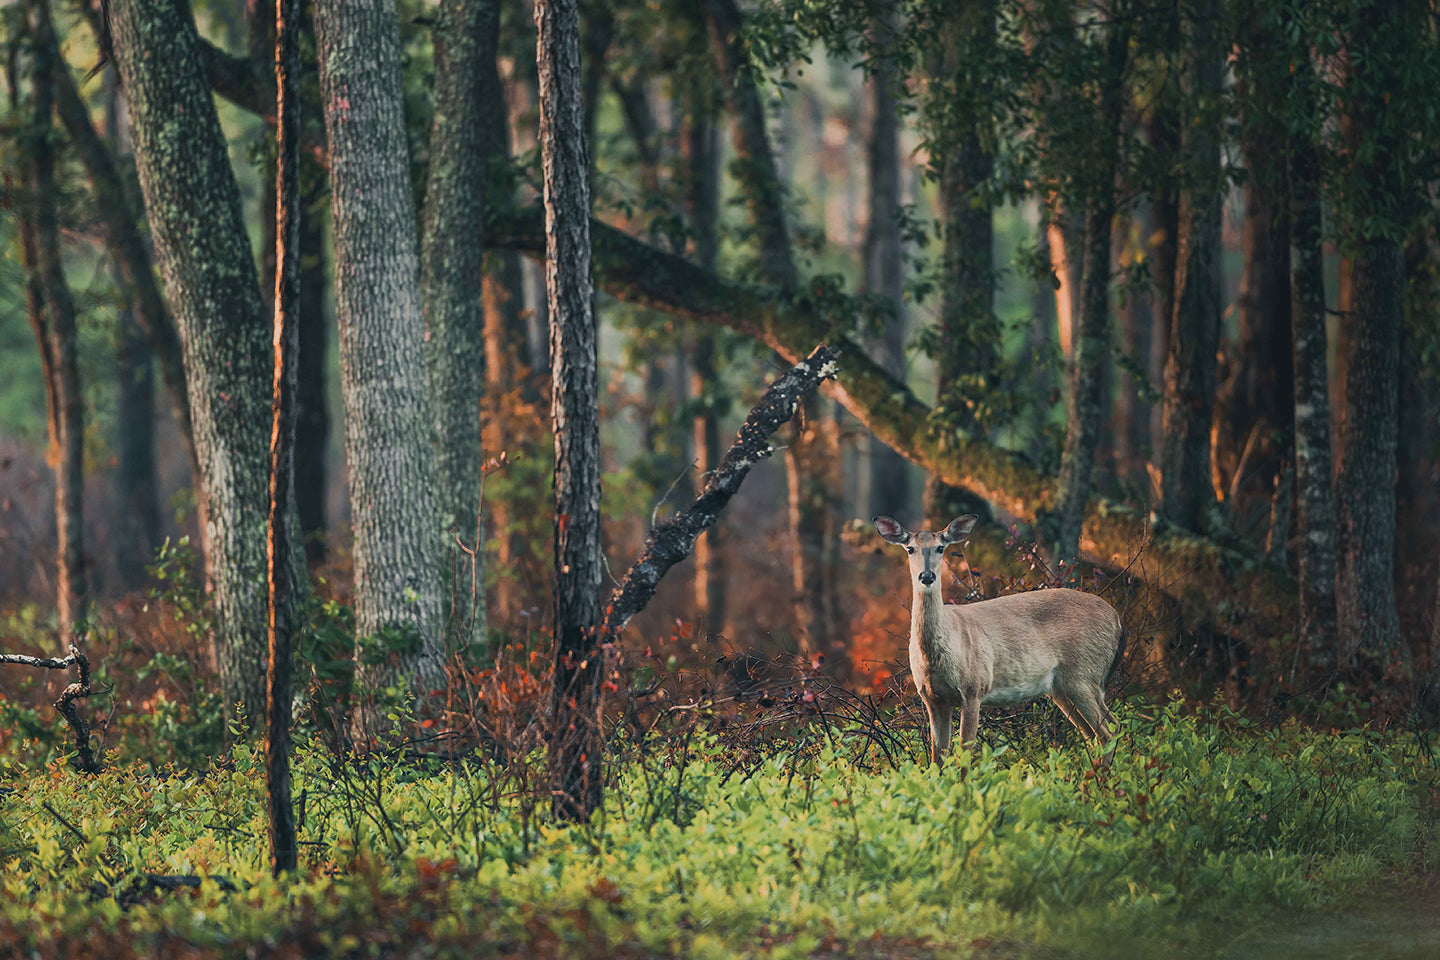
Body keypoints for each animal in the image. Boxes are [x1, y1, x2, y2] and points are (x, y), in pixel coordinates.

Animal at [869, 515, 1128, 759]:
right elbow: (937, 758)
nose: (927, 576)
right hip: (1063, 687)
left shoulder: (974, 688)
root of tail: (1117, 619)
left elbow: (964, 757)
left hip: (1083, 673)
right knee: (1100, 732)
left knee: (1107, 733)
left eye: (941, 547)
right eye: (910, 548)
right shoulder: (932, 699)